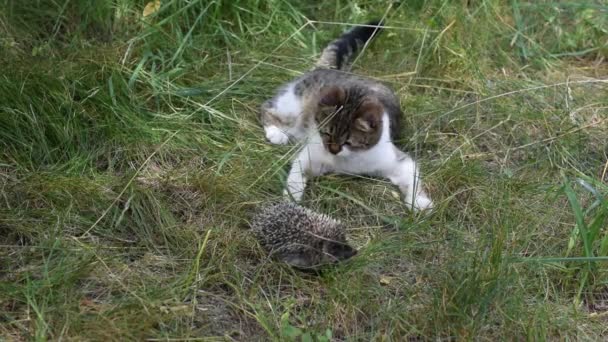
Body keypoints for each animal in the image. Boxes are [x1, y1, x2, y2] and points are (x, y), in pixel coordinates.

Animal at [258, 20, 434, 211]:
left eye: (348, 142)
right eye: (326, 132)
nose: (333, 150)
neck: (347, 160)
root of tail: (326, 69)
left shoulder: (397, 160)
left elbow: (412, 178)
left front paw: (420, 202)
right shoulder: (310, 155)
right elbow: (297, 172)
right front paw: (291, 198)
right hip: (293, 105)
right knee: (266, 107)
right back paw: (276, 132)